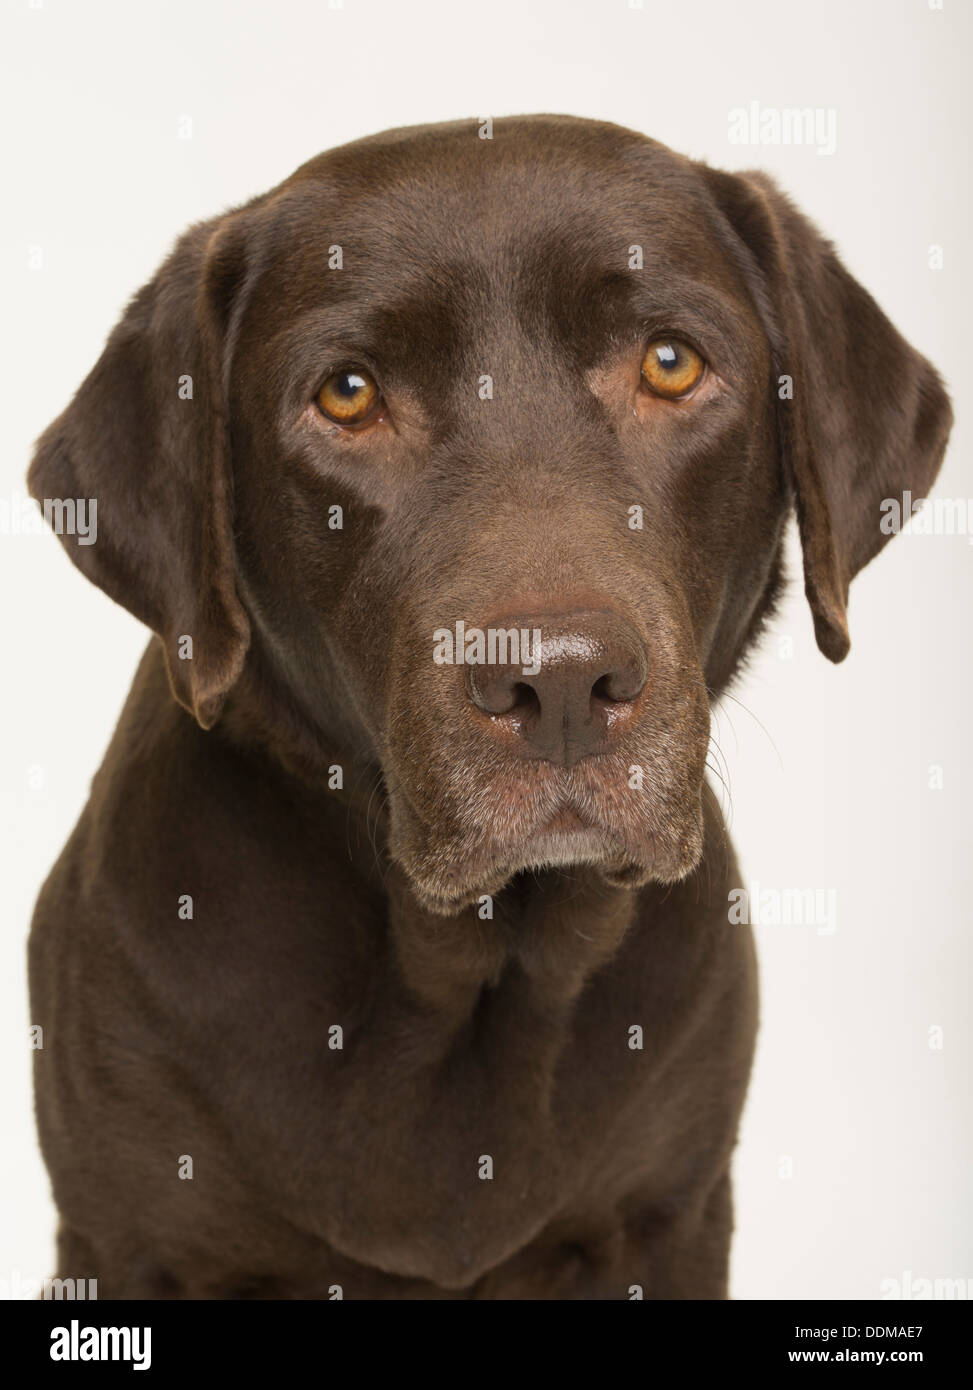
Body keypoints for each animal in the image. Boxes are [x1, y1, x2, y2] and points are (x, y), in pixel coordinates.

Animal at [28, 113, 950, 1295]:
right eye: (347, 393)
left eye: (670, 363)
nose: (557, 685)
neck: (473, 963)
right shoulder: (131, 1242)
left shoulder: (669, 1214)